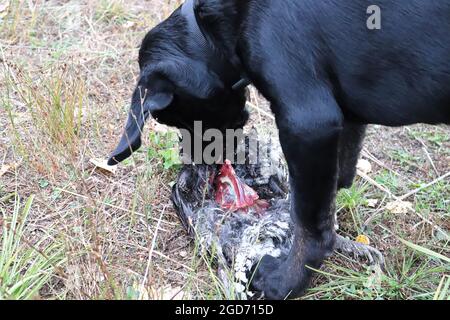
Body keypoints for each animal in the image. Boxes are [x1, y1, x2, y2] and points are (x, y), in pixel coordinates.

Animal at [110, 0, 450, 300]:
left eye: (171, 118)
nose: (191, 161)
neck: (214, 28)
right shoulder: (346, 121)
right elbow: (334, 185)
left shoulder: (309, 123)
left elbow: (311, 226)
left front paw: (285, 283)